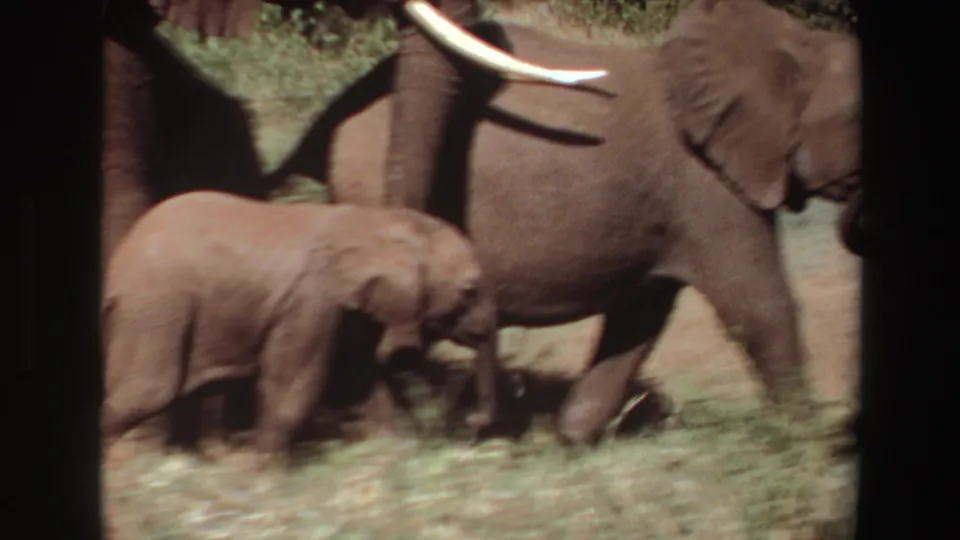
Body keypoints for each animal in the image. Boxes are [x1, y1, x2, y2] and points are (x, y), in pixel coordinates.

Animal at [101, 190, 503, 466]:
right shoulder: (310, 301)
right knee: (149, 391)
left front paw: (390, 457)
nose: (474, 420)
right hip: (155, 305)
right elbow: (295, 386)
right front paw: (263, 476)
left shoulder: (347, 307)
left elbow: (361, 380)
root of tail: (119, 262)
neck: (375, 218)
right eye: (469, 290)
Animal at [270, 0, 863, 444]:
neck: (792, 47)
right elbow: (760, 308)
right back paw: (387, 437)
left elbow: (637, 320)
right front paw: (805, 449)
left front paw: (571, 439)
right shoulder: (709, 188)